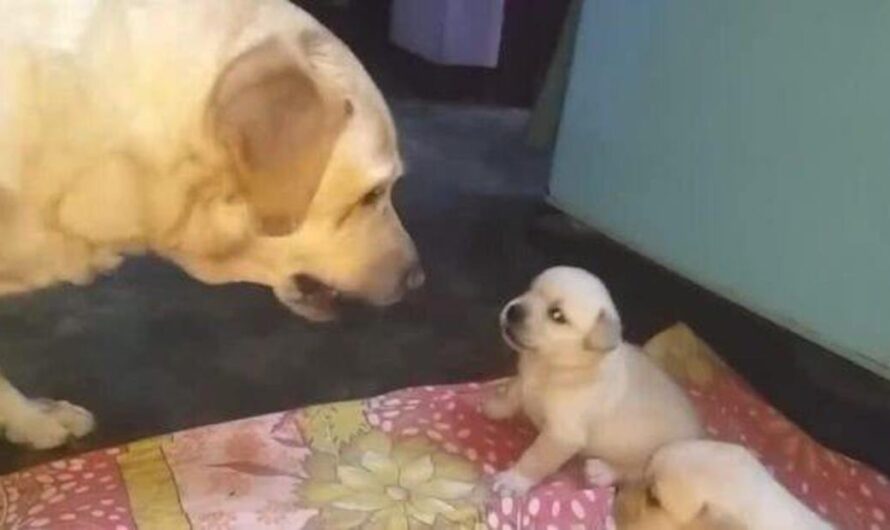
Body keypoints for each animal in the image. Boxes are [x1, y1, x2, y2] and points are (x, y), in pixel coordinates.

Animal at [486, 266, 700, 492]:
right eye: (530, 289)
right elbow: (512, 393)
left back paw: (602, 471)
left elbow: (535, 458)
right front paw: (496, 406)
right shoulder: (523, 380)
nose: (513, 310)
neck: (555, 364)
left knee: (633, 473)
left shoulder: (562, 435)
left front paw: (513, 480)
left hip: (653, 458)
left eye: (557, 315)